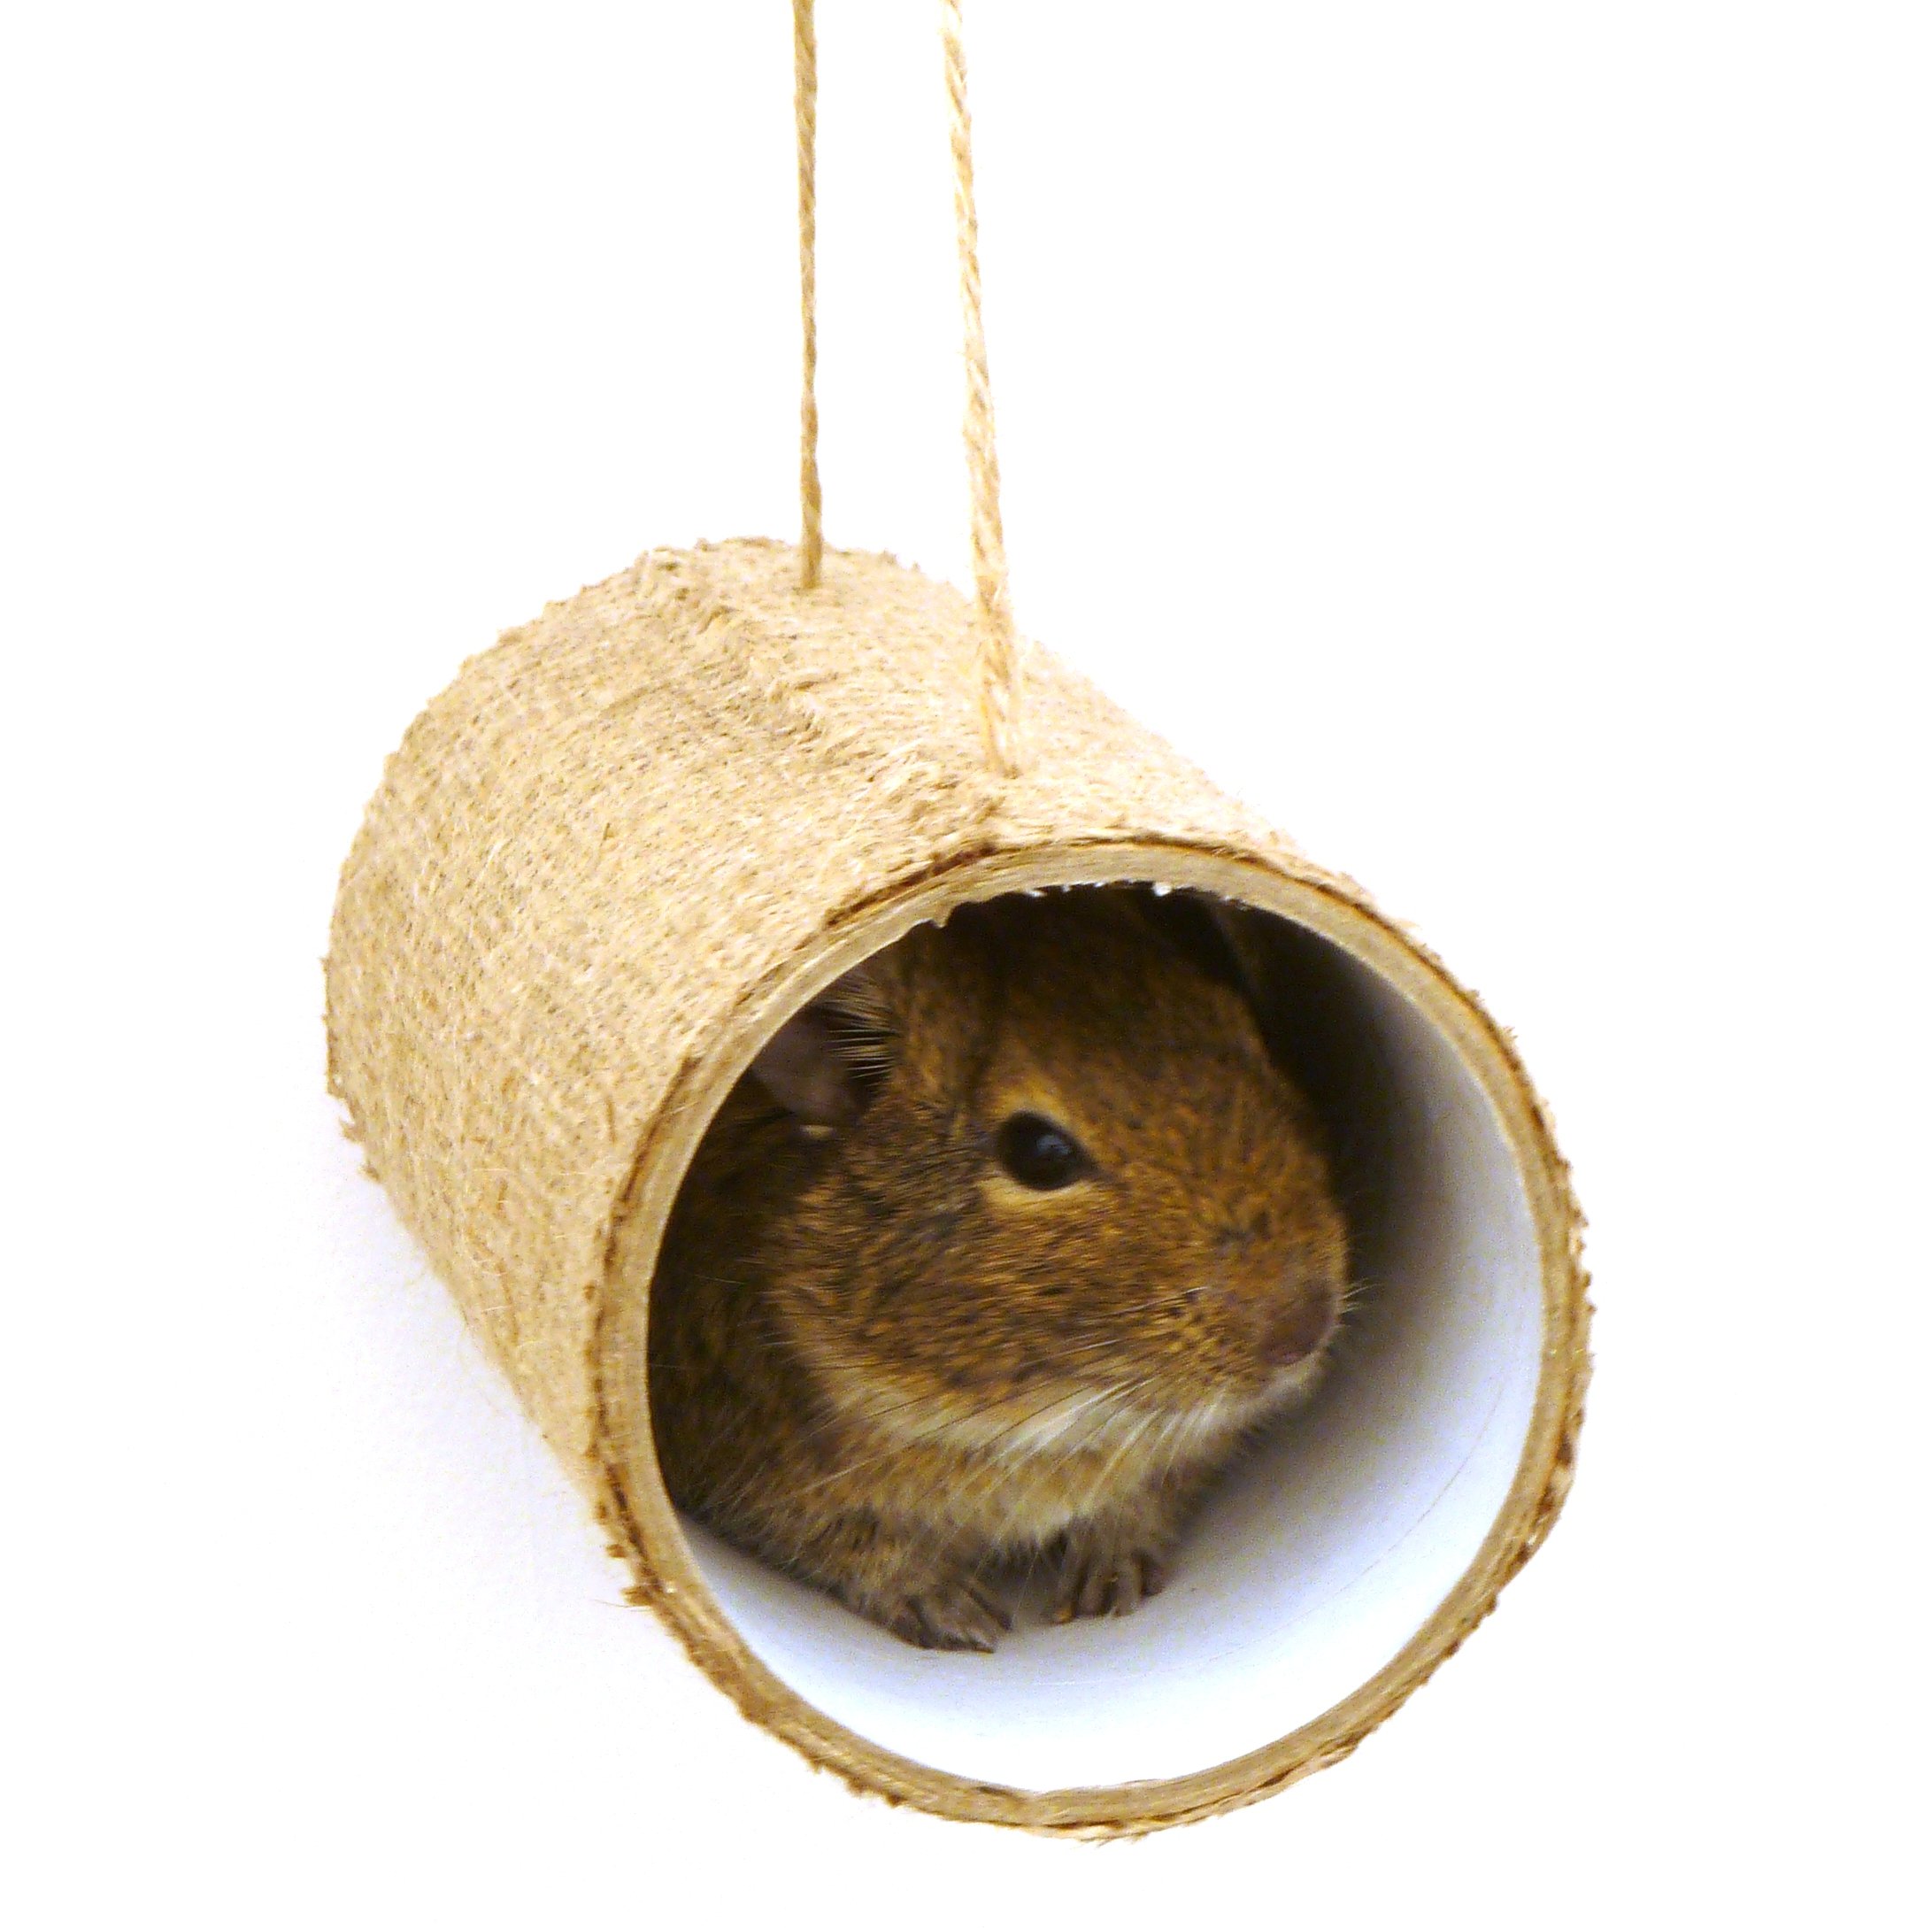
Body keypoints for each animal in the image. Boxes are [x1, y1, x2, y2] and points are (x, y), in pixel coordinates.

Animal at [644, 887, 1350, 1651]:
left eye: (1251, 1038)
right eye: (1038, 1153)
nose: (1303, 1331)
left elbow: (1147, 1500)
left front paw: (1110, 1578)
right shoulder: (751, 1478)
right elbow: (860, 1548)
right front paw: (960, 1617)